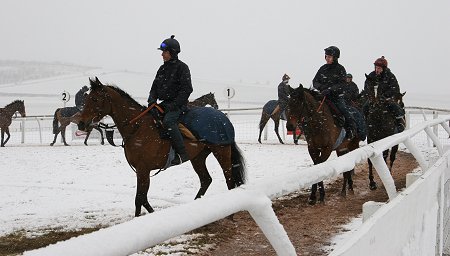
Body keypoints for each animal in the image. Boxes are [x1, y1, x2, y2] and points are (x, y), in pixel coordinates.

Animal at [78, 77, 246, 217]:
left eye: (94, 99)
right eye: (87, 98)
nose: (81, 123)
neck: (138, 127)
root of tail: (222, 117)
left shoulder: (143, 170)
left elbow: (139, 198)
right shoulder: (141, 171)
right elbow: (142, 199)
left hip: (221, 151)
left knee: (229, 179)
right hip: (198, 157)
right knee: (206, 180)